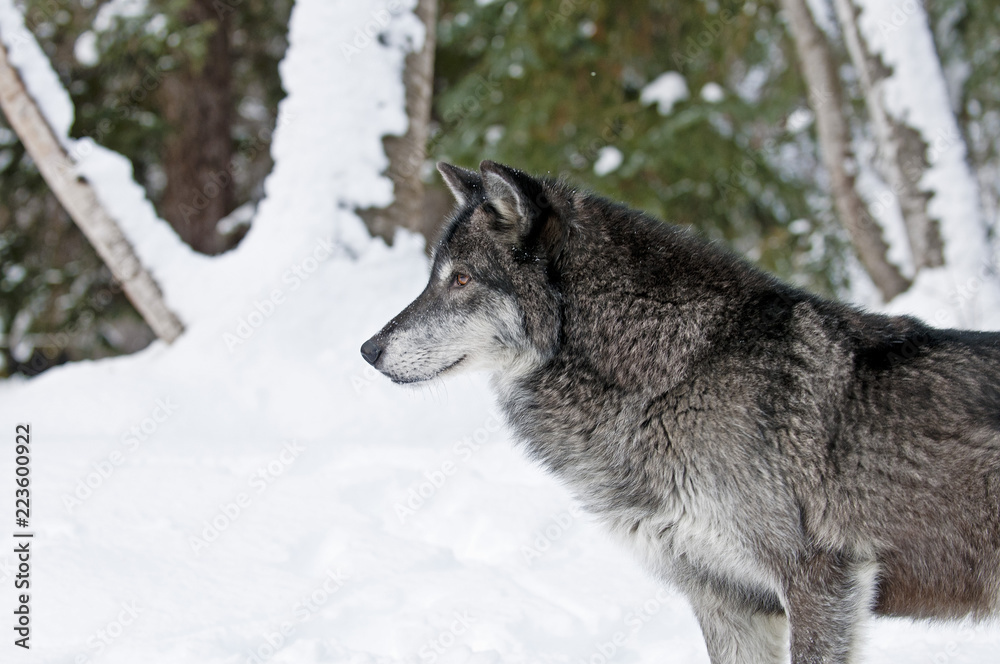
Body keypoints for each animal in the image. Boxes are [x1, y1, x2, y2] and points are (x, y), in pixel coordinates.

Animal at [360, 161, 1000, 664]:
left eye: (461, 279)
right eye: (434, 278)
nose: (368, 350)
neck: (675, 372)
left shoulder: (820, 582)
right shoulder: (726, 601)